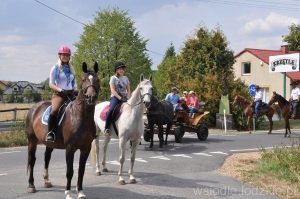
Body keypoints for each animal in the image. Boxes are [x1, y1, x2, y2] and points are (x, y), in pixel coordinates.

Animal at [25, 62, 99, 199]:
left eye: (97, 80)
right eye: (83, 80)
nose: (90, 97)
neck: (81, 117)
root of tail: (34, 107)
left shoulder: (86, 148)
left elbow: (81, 170)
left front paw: (80, 192)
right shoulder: (70, 148)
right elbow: (69, 171)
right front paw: (68, 193)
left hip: (49, 143)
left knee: (47, 157)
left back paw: (47, 181)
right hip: (32, 140)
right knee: (32, 160)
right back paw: (31, 185)